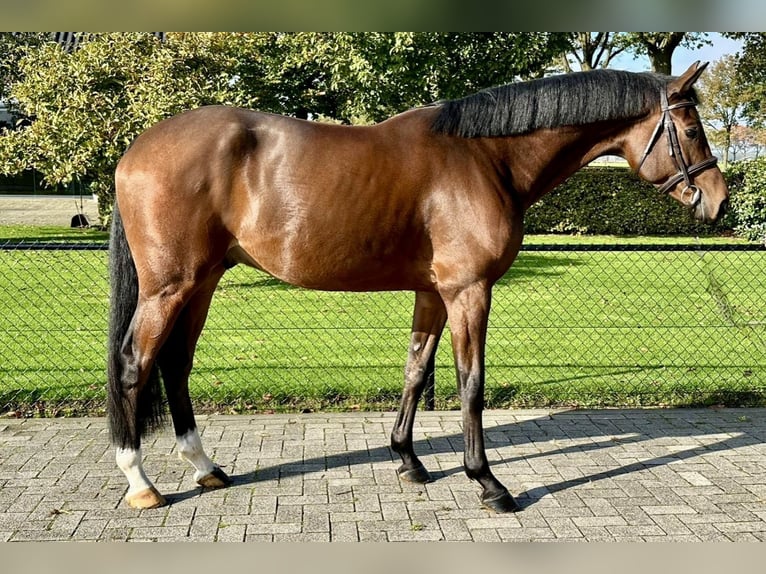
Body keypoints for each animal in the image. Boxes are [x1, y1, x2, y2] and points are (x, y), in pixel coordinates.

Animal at [108, 63, 732, 512]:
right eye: (692, 129)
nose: (721, 202)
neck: (485, 158)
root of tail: (134, 151)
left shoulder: (433, 293)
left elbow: (415, 370)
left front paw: (408, 461)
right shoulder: (469, 291)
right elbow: (470, 384)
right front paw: (488, 483)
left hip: (203, 282)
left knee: (176, 365)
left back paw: (206, 468)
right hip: (170, 288)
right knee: (135, 364)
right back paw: (141, 483)